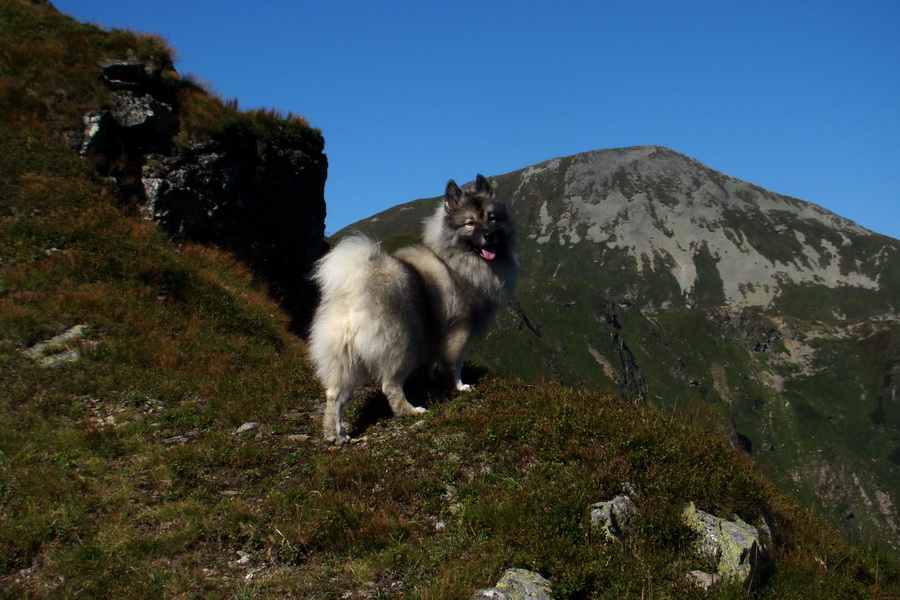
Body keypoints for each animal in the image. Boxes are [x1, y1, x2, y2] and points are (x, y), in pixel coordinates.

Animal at [310, 175, 516, 446]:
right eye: (470, 223)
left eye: (492, 218)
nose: (489, 235)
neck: (458, 259)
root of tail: (355, 288)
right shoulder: (459, 329)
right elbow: (455, 363)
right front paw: (459, 386)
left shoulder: (432, 334)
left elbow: (429, 361)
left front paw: (429, 379)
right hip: (400, 347)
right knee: (389, 386)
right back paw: (409, 410)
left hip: (343, 359)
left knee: (334, 394)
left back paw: (335, 434)